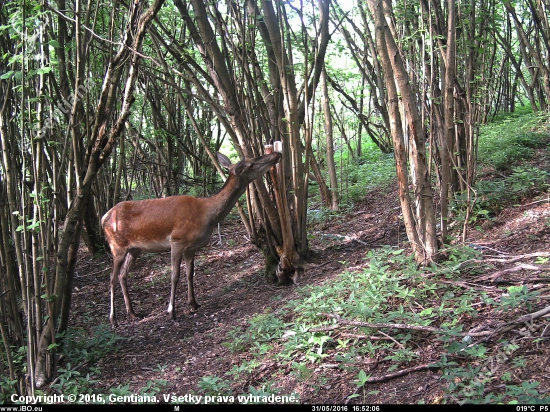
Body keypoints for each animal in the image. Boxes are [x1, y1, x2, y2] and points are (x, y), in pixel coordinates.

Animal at [102, 150, 282, 326]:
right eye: (250, 164)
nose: (277, 154)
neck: (206, 215)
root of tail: (104, 218)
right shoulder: (177, 240)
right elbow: (175, 275)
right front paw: (171, 312)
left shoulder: (191, 247)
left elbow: (190, 273)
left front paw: (194, 304)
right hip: (116, 245)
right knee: (111, 277)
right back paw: (113, 319)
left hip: (134, 249)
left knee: (122, 275)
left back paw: (132, 313)